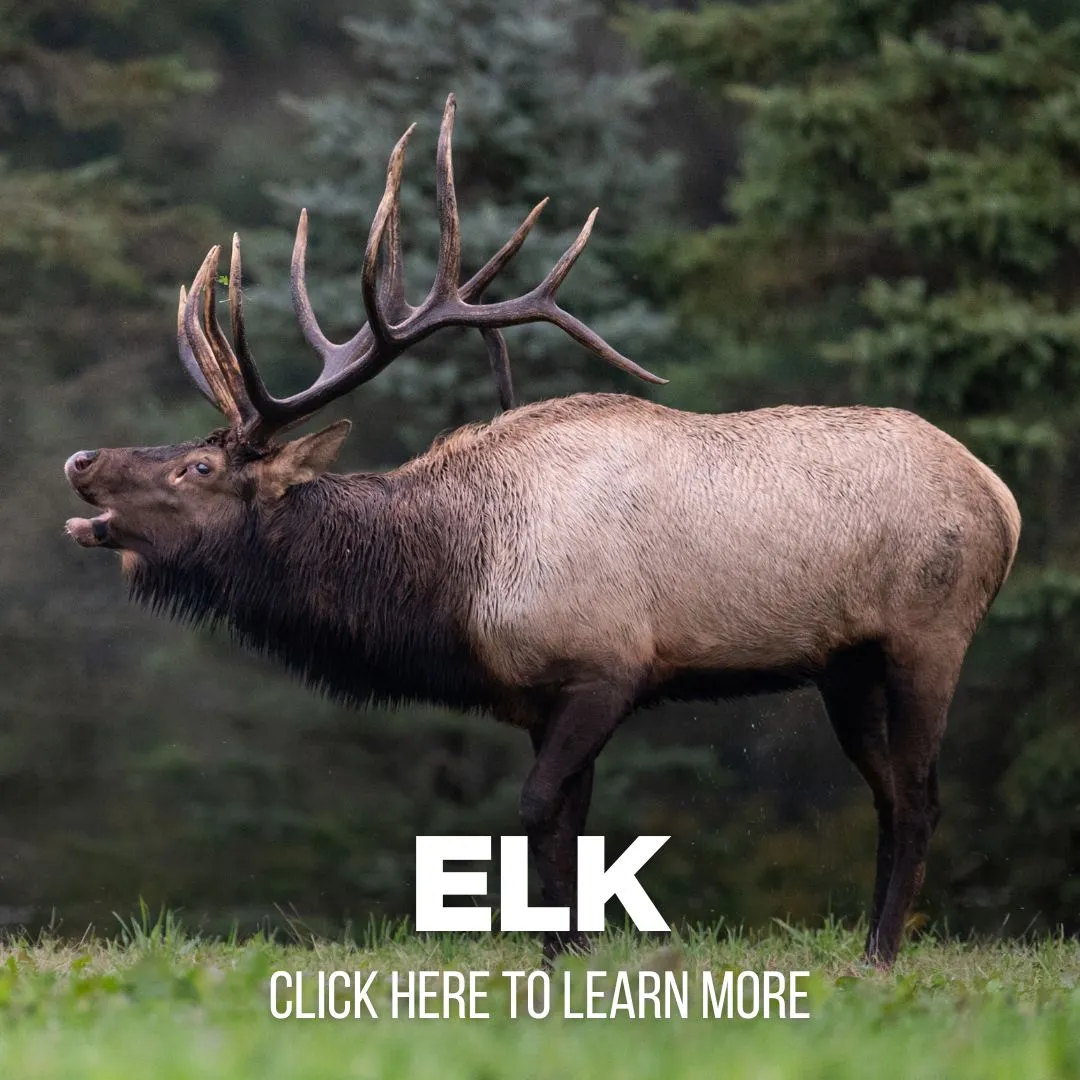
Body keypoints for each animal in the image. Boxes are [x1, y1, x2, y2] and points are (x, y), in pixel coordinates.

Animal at [63, 95, 1021, 968]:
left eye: (199, 469)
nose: (80, 459)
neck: (458, 581)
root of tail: (1002, 500)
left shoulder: (608, 667)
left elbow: (533, 814)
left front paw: (562, 954)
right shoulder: (541, 691)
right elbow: (569, 827)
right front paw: (570, 950)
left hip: (927, 636)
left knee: (921, 796)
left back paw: (883, 952)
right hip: (844, 665)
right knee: (889, 792)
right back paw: (868, 943)